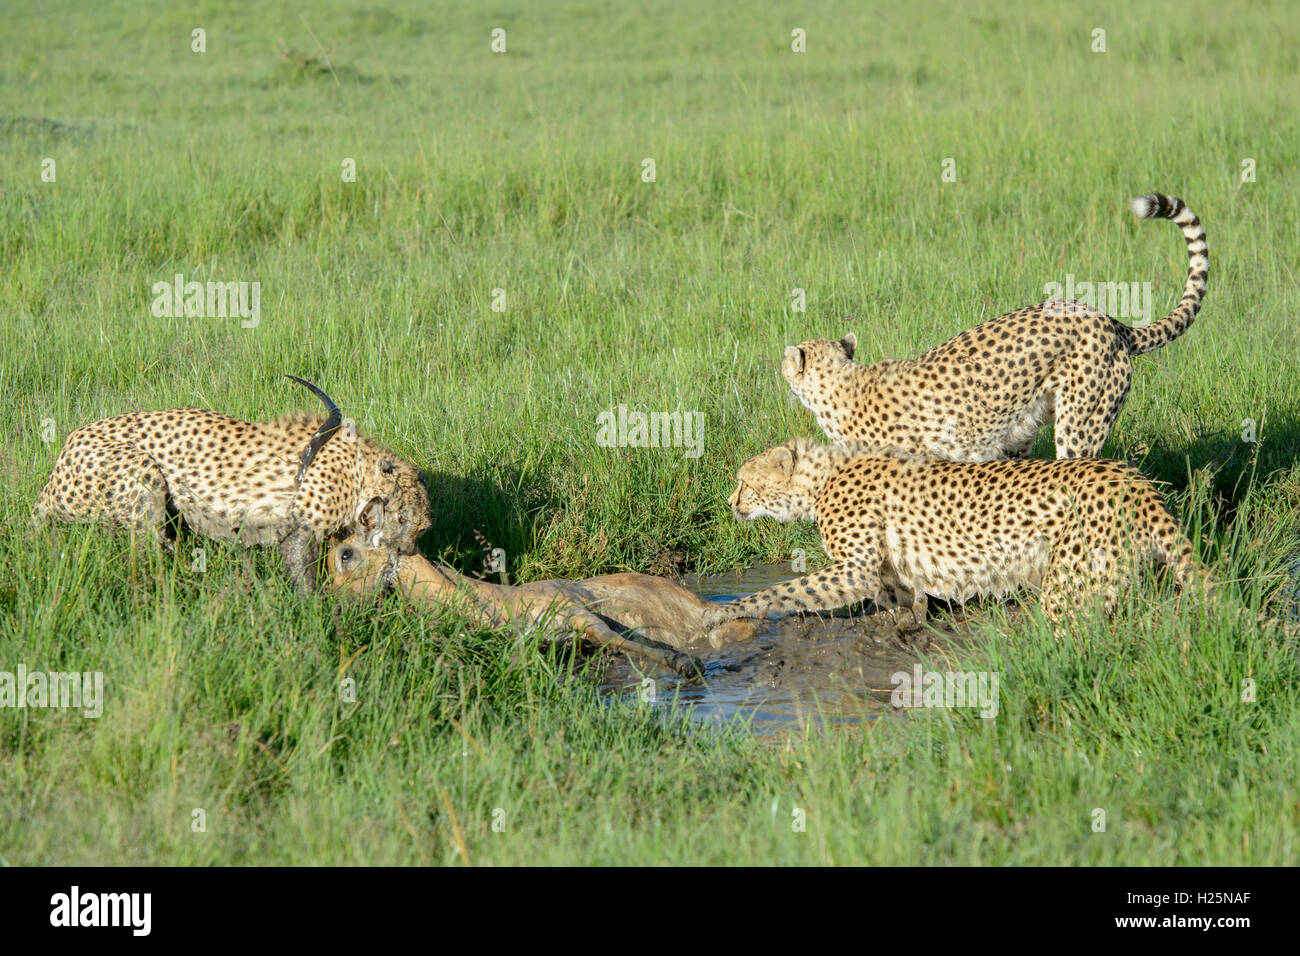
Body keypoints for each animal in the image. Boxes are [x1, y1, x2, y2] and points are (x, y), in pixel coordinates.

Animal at [32, 374, 431, 590]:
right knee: (150, 553)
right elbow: (305, 578)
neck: (358, 469)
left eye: (423, 528)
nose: (408, 549)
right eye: (402, 518)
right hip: (142, 473)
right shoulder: (301, 529)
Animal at [702, 439, 1206, 632]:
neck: (820, 479)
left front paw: (721, 613)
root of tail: (1131, 477)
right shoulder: (893, 571)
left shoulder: (854, 569)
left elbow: (785, 590)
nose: (729, 501)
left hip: (1068, 586)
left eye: (745, 482)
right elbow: (904, 603)